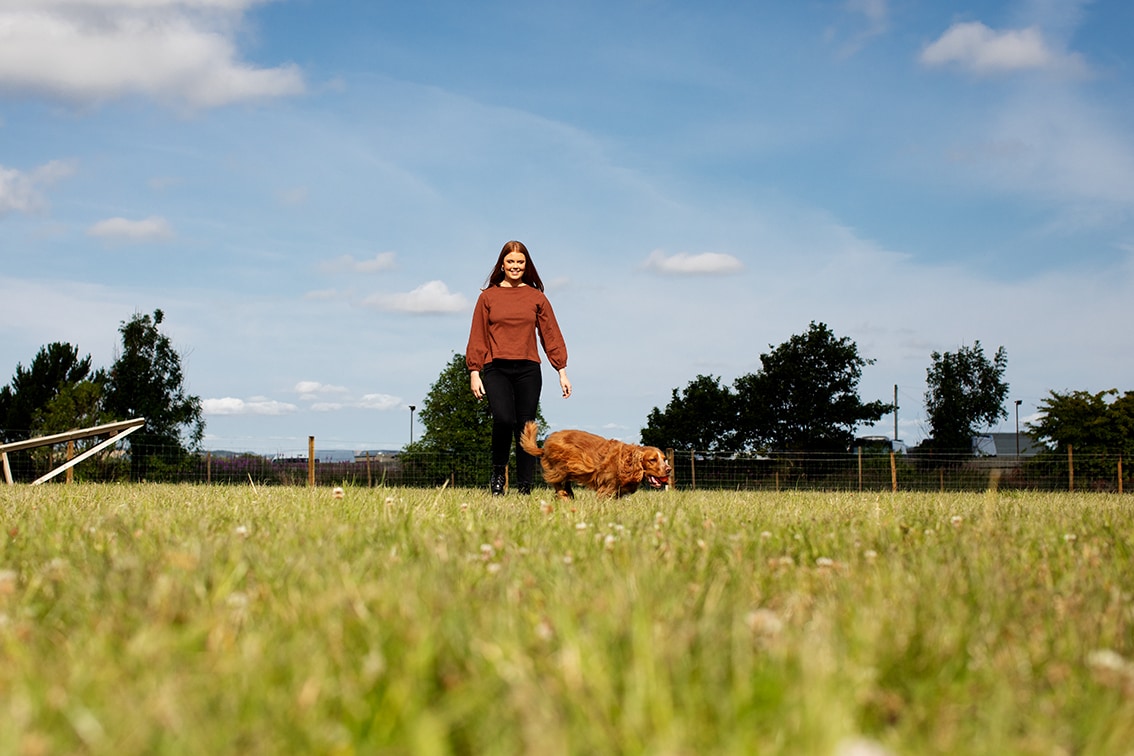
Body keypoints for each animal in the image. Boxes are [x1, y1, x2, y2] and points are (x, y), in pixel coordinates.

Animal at [519, 423, 666, 498]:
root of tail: (544, 446)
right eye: (652, 460)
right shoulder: (607, 487)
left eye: (664, 459)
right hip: (562, 466)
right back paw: (564, 496)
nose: (668, 470)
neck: (626, 461)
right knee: (556, 482)